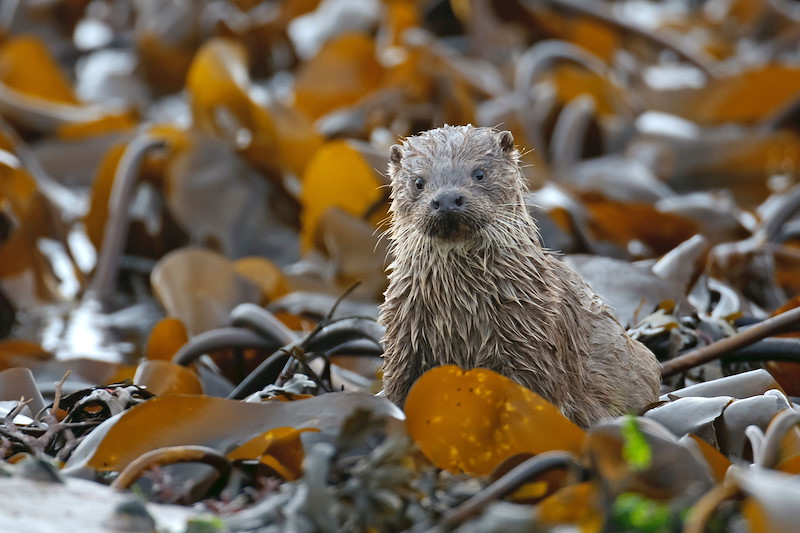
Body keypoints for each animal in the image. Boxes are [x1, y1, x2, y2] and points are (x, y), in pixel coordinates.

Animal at [378, 125, 661, 428]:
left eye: (479, 173)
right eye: (418, 182)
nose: (446, 199)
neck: (461, 312)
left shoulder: (534, 347)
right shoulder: (402, 340)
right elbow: (397, 389)